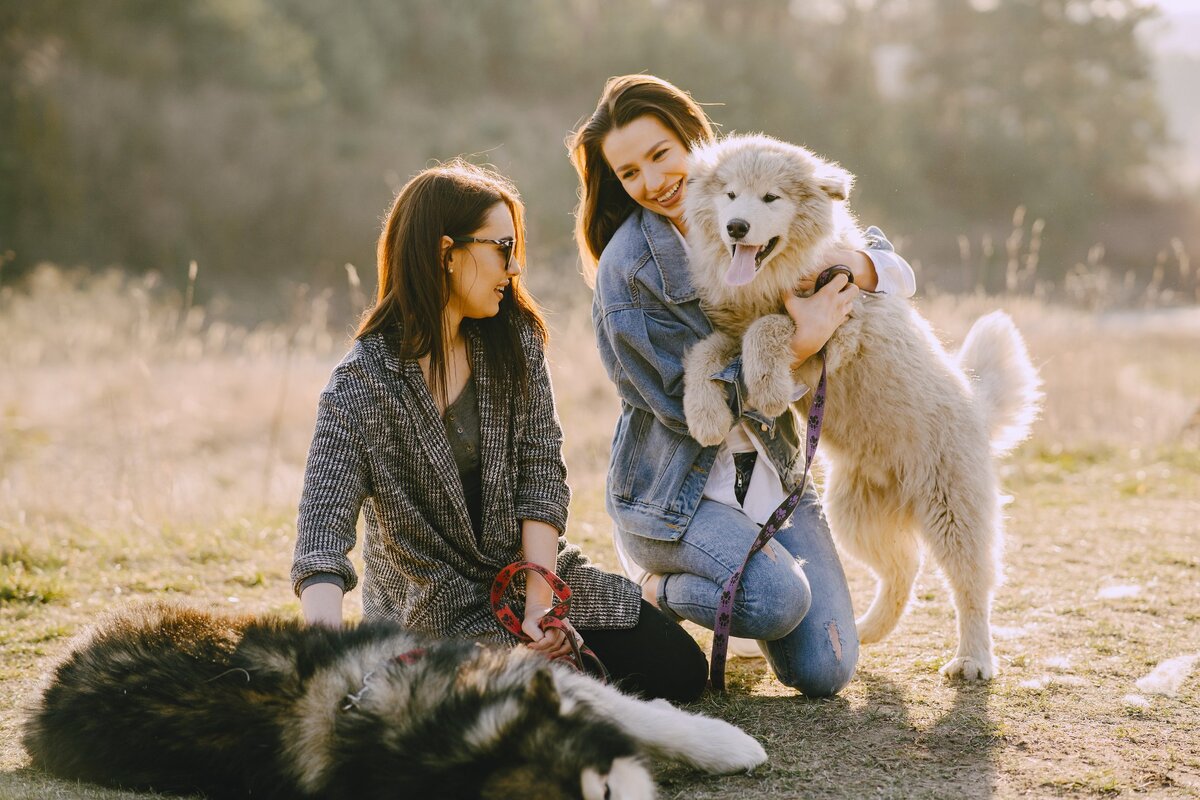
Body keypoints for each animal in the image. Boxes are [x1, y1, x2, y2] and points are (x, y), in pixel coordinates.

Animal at [686, 134, 1041, 681]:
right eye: (729, 195)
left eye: (770, 198)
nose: (737, 227)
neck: (772, 280)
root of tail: (976, 405)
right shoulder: (726, 329)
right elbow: (706, 352)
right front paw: (702, 412)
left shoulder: (831, 333)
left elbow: (769, 328)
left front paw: (765, 383)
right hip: (855, 515)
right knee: (904, 567)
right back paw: (868, 629)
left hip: (953, 509)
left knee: (971, 585)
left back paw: (973, 658)